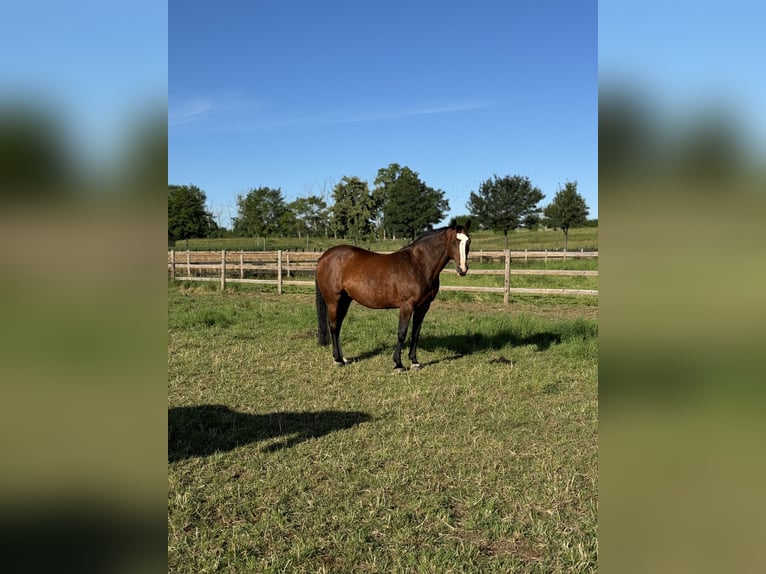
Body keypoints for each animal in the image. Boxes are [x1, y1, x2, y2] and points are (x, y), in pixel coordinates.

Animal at [316, 218, 472, 372]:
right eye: (454, 241)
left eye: (468, 241)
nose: (462, 269)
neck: (419, 265)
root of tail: (324, 257)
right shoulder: (406, 306)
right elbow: (402, 333)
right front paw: (398, 364)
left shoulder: (423, 306)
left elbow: (415, 333)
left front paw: (414, 362)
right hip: (333, 300)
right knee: (333, 326)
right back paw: (337, 360)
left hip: (345, 300)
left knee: (338, 326)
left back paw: (343, 359)